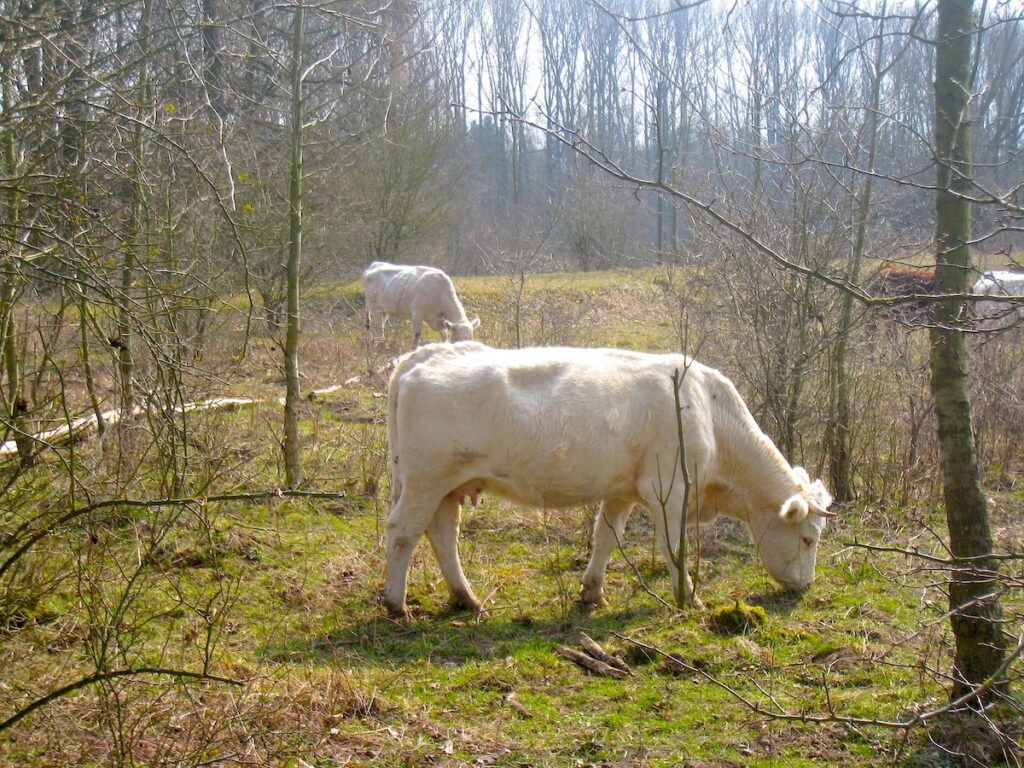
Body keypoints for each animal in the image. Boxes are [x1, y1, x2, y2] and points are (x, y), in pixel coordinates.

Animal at [385, 342, 831, 618]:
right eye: (808, 539)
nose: (807, 586)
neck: (712, 413)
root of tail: (423, 356)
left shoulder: (622, 491)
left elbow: (605, 537)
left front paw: (592, 592)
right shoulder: (669, 490)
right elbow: (673, 548)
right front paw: (690, 598)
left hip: (446, 487)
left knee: (442, 535)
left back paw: (467, 599)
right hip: (426, 481)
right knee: (404, 532)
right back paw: (395, 603)